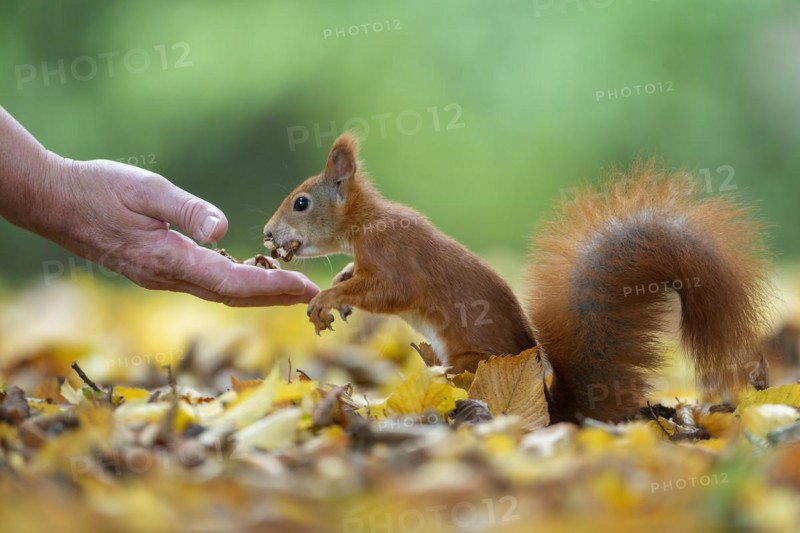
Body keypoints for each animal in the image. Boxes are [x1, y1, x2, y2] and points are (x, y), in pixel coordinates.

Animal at [263, 132, 770, 423]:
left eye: (301, 203)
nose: (267, 234)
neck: (365, 222)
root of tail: (552, 410)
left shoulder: (395, 258)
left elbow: (390, 291)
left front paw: (329, 298)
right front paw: (342, 283)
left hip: (469, 367)